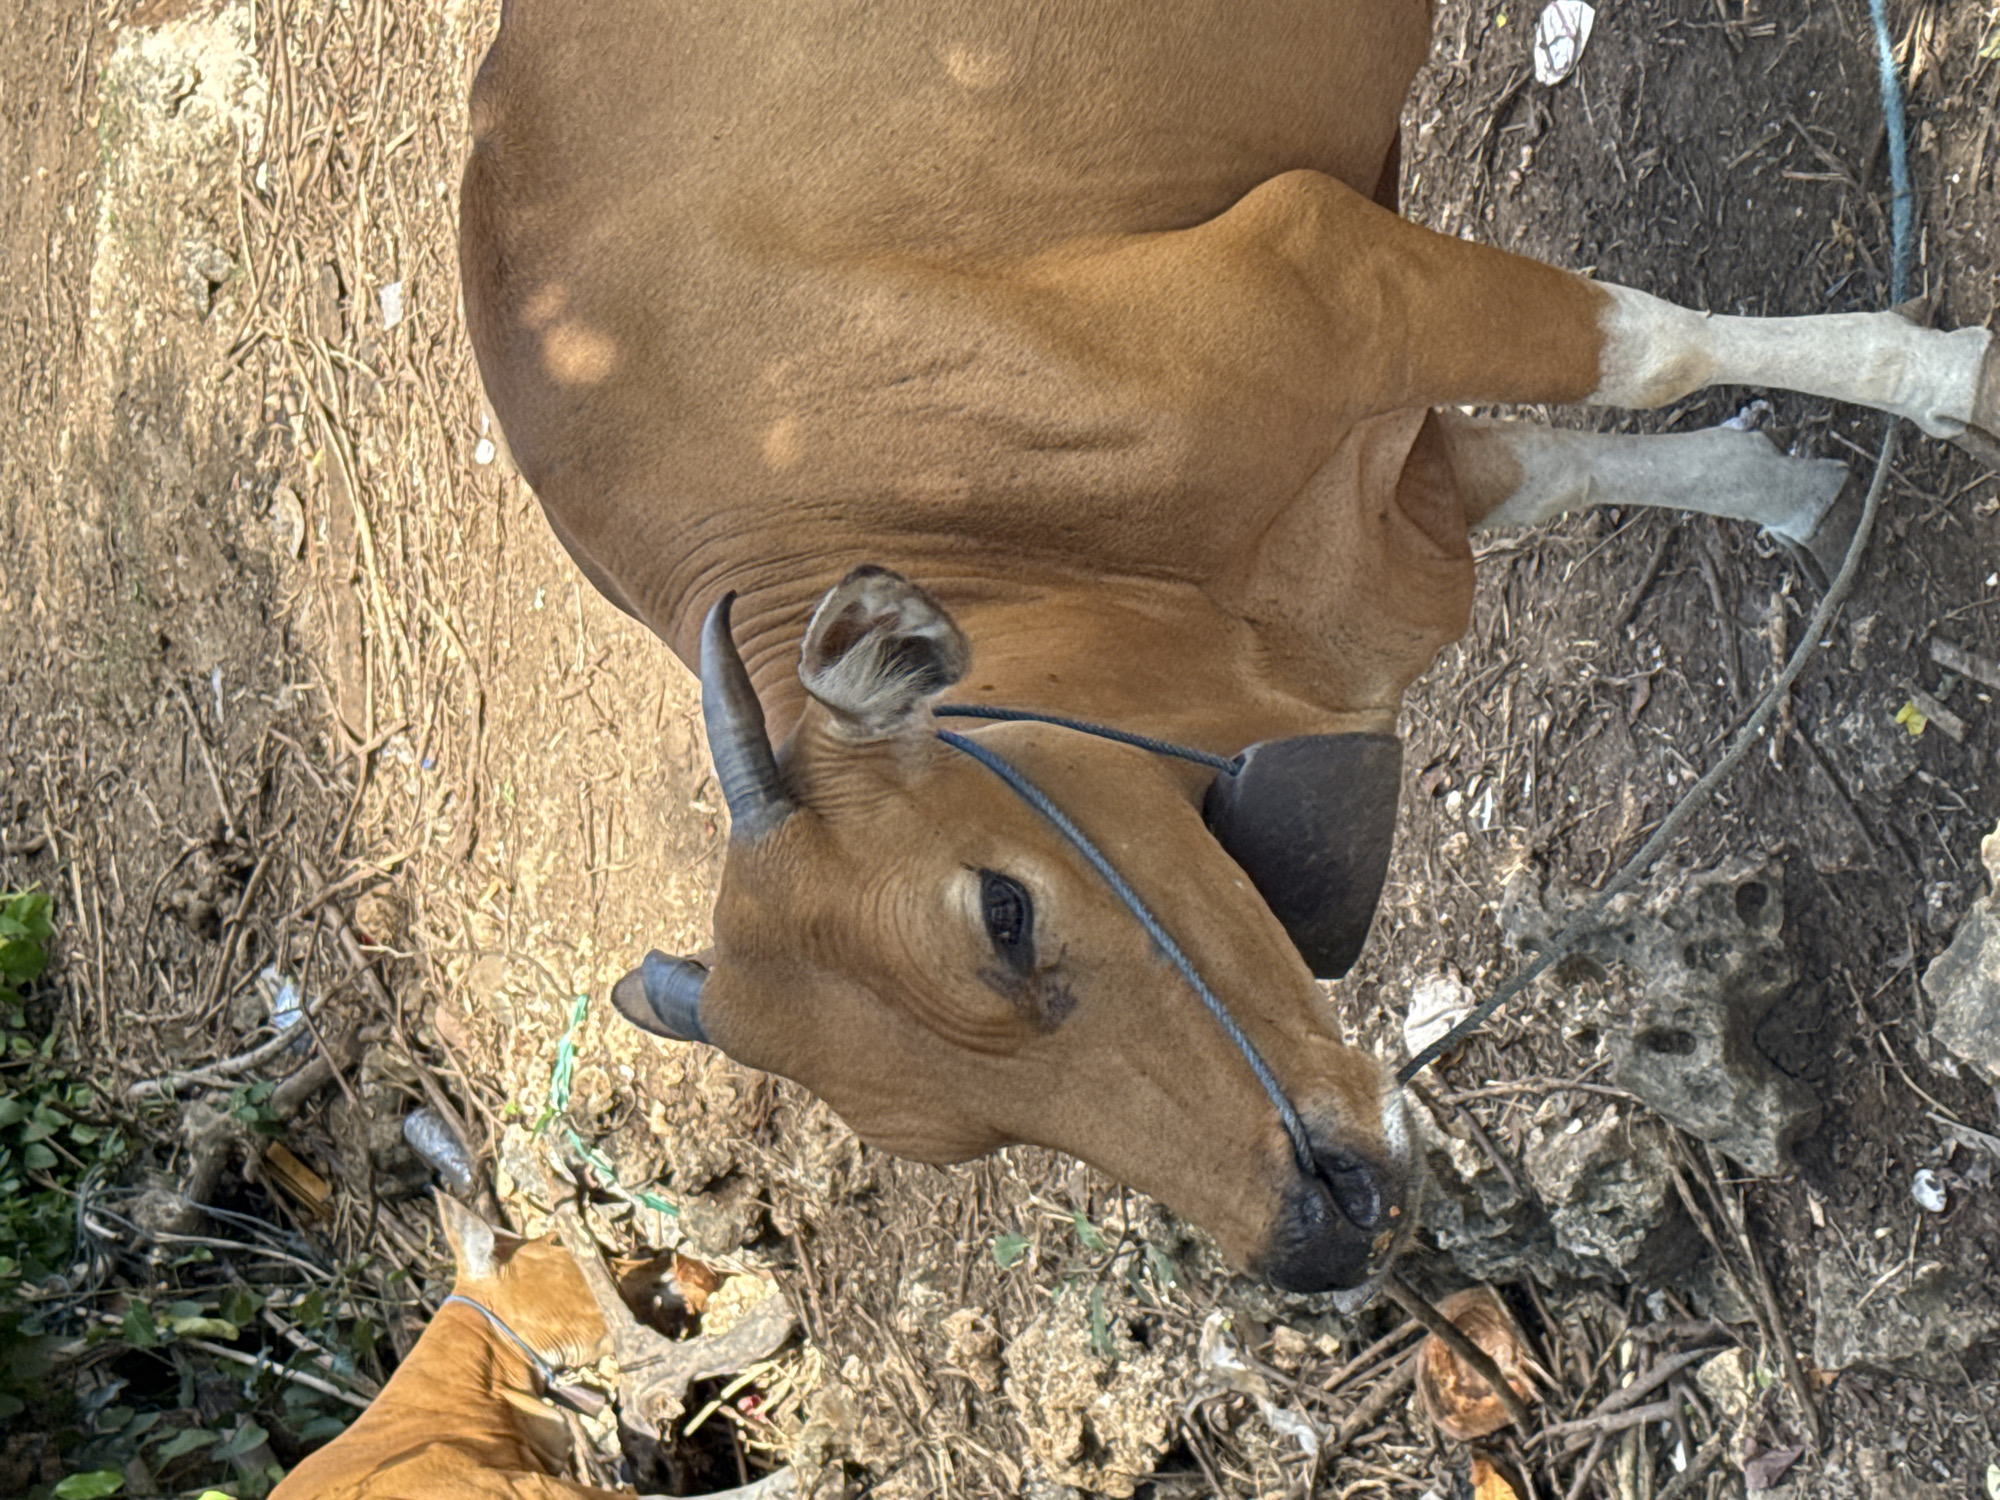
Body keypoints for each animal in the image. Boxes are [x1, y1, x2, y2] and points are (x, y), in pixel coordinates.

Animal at [458, 0, 1999, 1295]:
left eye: (1002, 915)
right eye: (951, 1138)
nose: (1318, 1229)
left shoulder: (1326, 272)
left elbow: (1647, 350)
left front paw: (1952, 377)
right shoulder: (1378, 499)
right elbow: (1560, 466)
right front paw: (1789, 491)